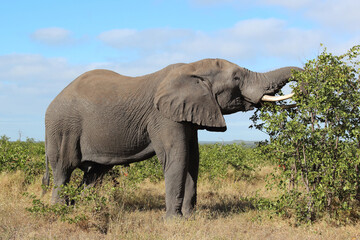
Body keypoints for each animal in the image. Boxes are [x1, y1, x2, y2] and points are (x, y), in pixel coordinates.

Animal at [42, 58, 300, 218]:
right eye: (236, 78)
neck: (191, 68)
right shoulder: (162, 116)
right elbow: (177, 157)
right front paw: (173, 220)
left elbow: (193, 159)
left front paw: (190, 217)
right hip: (62, 128)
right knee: (64, 170)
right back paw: (58, 212)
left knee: (94, 174)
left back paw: (82, 209)